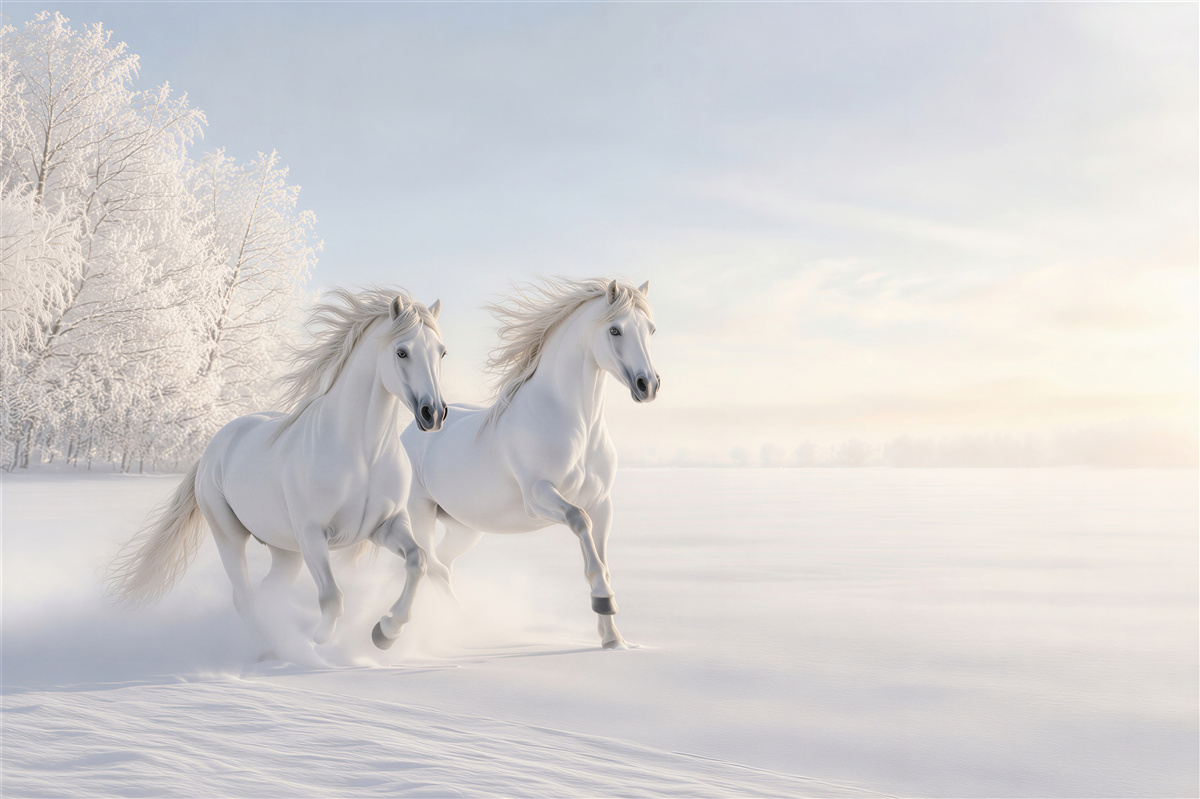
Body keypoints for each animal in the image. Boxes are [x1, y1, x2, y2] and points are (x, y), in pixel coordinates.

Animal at [107, 287, 448, 648]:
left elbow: (418, 560)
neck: (363, 456)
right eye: (402, 352)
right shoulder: (313, 534)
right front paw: (320, 640)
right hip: (229, 534)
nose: (434, 414)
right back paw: (275, 645)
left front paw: (386, 631)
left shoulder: (385, 526)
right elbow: (331, 597)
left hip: (285, 549)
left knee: (265, 593)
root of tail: (213, 448)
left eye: (441, 352)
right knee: (244, 596)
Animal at [398, 277, 659, 650]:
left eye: (651, 329)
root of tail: (410, 431)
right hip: (419, 512)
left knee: (442, 563)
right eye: (615, 329)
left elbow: (601, 557)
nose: (648, 385)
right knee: (431, 565)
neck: (574, 423)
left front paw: (613, 639)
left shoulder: (601, 503)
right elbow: (580, 524)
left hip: (465, 528)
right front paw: (603, 600)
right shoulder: (539, 497)